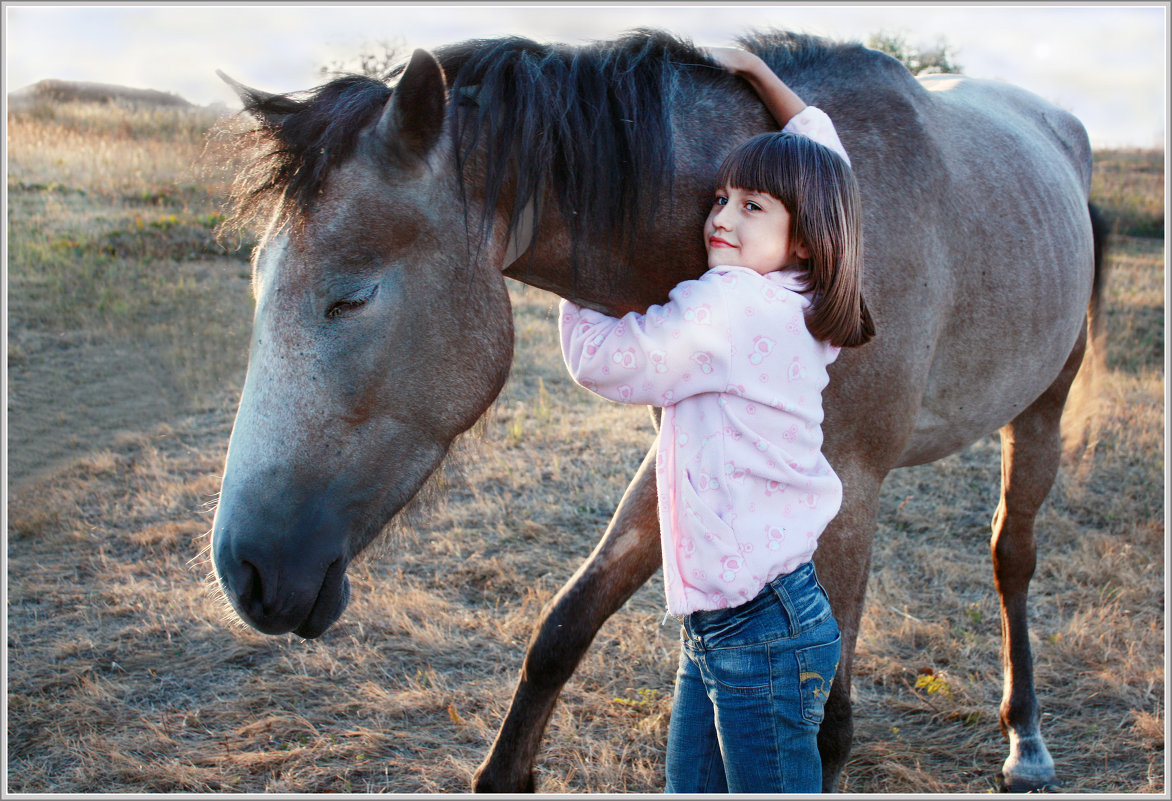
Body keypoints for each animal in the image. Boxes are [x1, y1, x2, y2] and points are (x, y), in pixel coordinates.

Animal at [213, 28, 1106, 792]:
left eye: (351, 296)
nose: (243, 569)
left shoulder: (850, 486)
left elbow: (828, 730)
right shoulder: (672, 456)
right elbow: (564, 625)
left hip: (1043, 408)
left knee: (1012, 556)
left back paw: (1027, 739)